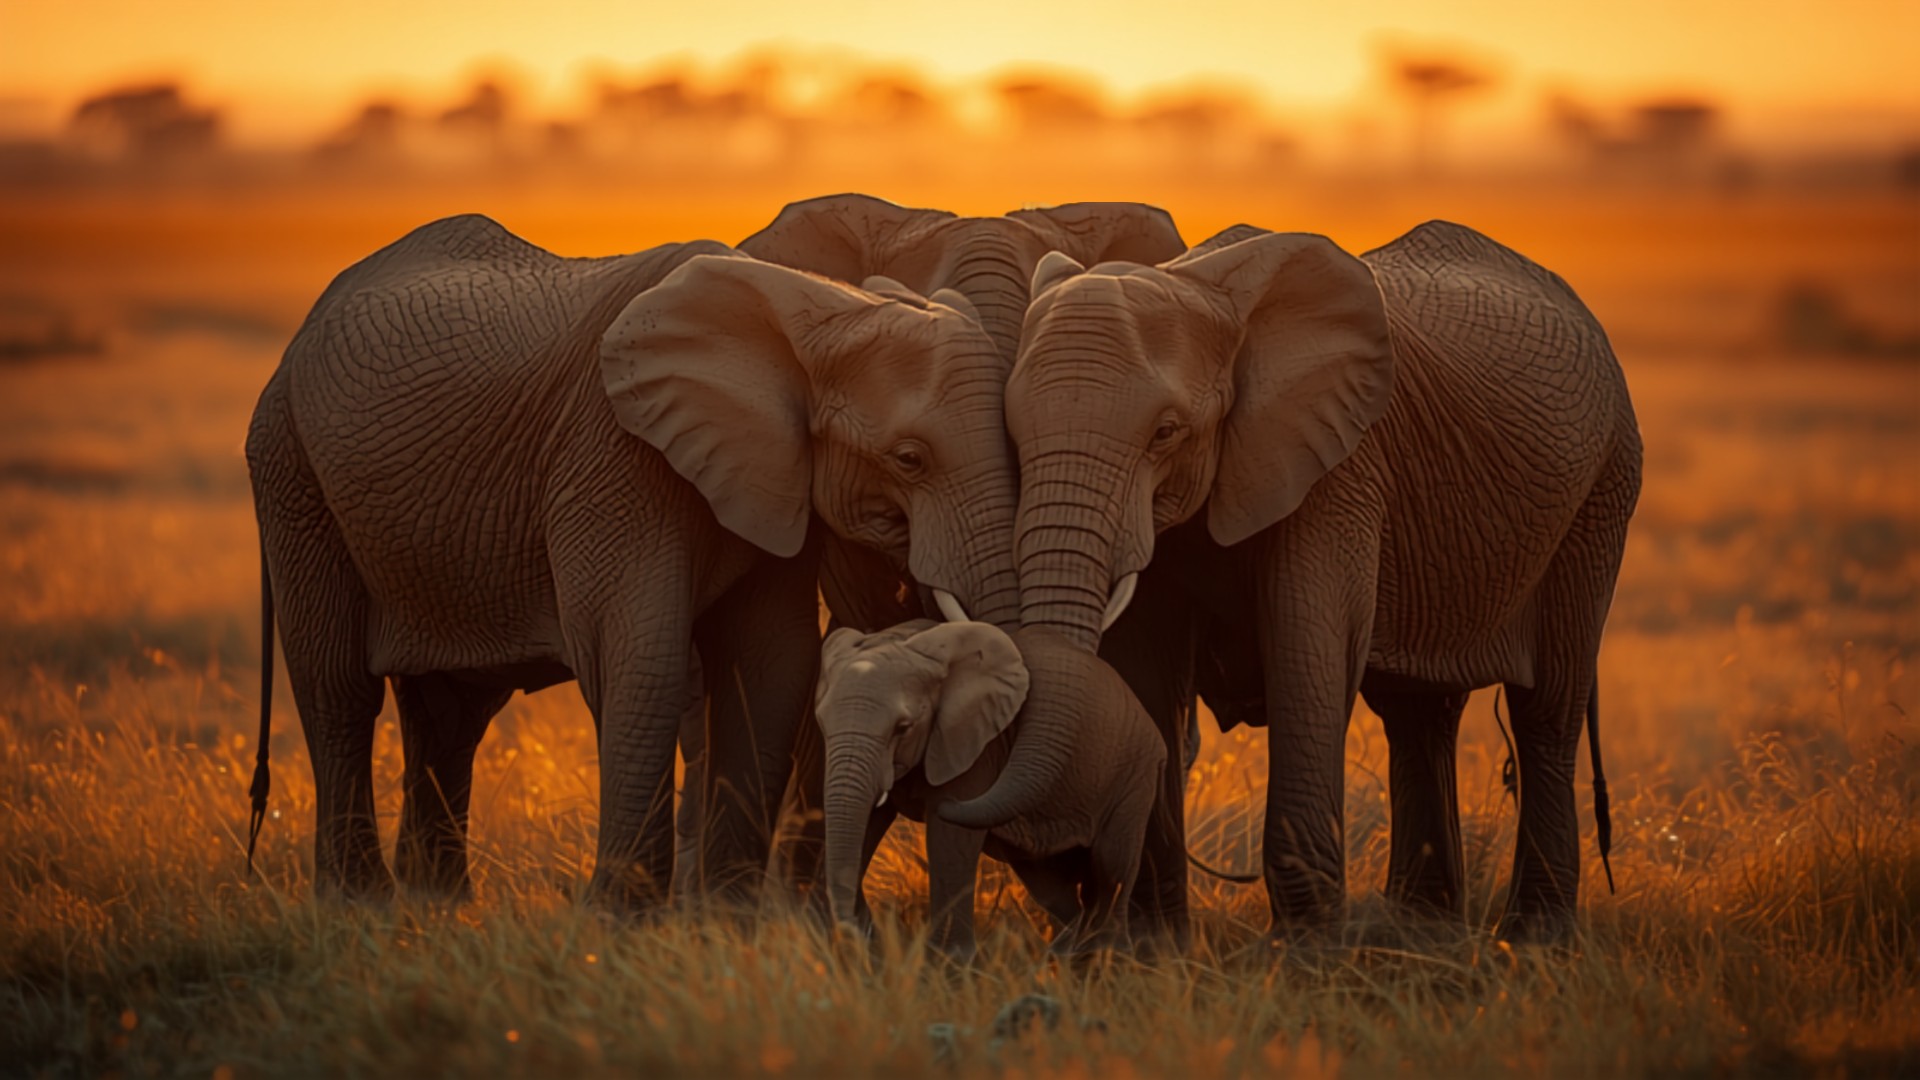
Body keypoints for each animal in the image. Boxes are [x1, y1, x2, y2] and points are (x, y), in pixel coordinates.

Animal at [243, 213, 1021, 912]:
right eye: (909, 459)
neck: (808, 309)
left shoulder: (771, 477)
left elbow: (771, 662)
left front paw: (727, 922)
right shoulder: (612, 455)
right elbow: (638, 654)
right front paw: (620, 920)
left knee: (452, 707)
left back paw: (439, 907)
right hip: (291, 469)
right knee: (337, 684)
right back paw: (359, 905)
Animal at [812, 619, 1164, 960]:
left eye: (903, 728)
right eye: (822, 724)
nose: (861, 929)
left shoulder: (976, 748)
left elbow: (949, 839)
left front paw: (950, 962)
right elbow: (867, 823)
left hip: (1135, 772)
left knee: (1110, 864)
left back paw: (1105, 957)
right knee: (1050, 886)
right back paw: (1067, 953)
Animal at [1004, 220, 1642, 943]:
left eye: (1165, 432)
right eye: (1012, 433)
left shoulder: (1339, 469)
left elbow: (1309, 658)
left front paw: (1305, 957)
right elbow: (1149, 671)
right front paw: (1152, 950)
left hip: (1602, 492)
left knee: (1547, 709)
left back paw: (1533, 939)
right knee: (1419, 711)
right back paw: (1422, 933)